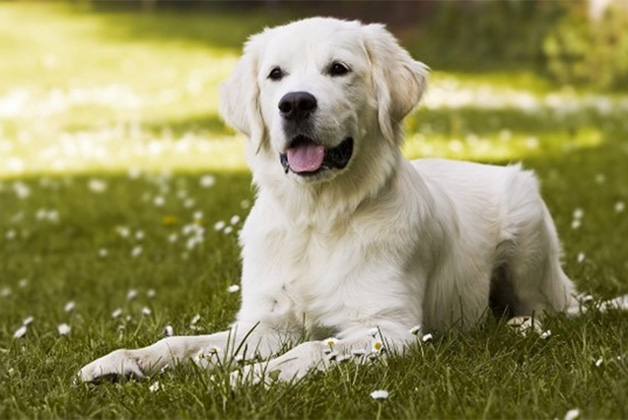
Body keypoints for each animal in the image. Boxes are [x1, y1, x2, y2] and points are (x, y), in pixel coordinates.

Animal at [79, 15, 628, 384]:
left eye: (338, 69)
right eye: (275, 75)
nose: (295, 103)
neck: (317, 218)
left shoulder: (392, 328)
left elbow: (313, 348)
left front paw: (245, 379)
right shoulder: (264, 320)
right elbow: (188, 341)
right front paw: (126, 360)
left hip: (527, 225)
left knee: (549, 310)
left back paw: (520, 326)